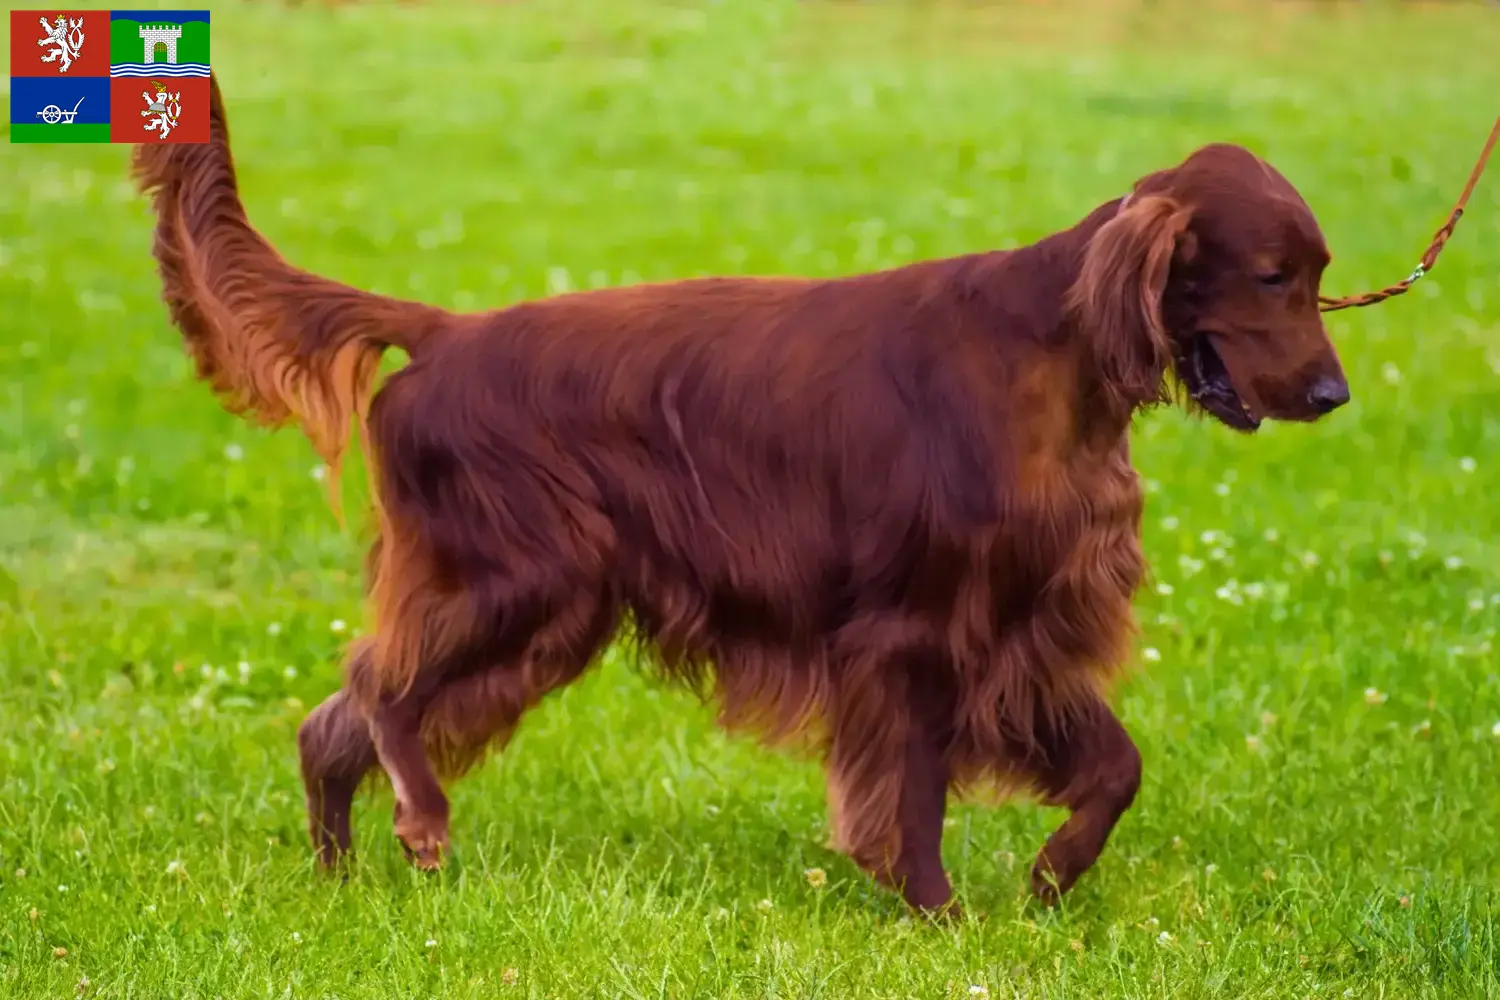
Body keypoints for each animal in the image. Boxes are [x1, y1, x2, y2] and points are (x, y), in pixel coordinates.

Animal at [135, 70, 1356, 917]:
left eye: (1320, 275)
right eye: (1270, 276)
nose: (1334, 392)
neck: (1053, 357)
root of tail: (444, 334)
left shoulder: (1023, 625)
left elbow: (1116, 766)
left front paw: (1051, 878)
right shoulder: (917, 630)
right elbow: (914, 793)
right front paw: (938, 913)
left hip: (538, 611)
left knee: (328, 723)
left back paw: (340, 874)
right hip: (524, 578)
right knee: (379, 687)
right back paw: (423, 823)